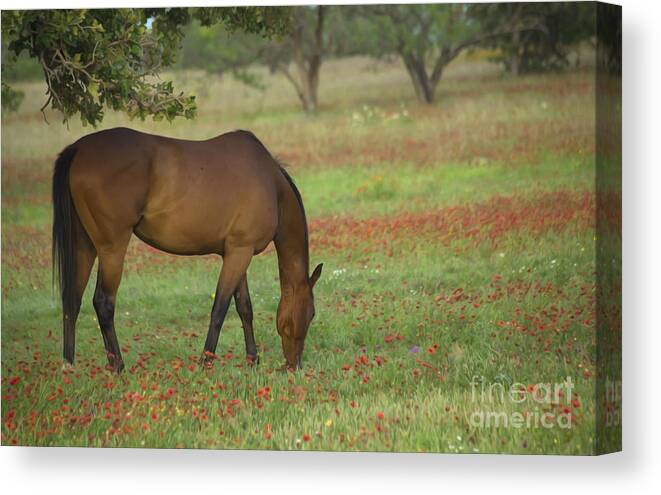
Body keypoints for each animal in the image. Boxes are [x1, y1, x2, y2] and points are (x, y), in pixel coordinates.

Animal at [52, 127, 322, 372]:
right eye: (311, 314)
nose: (295, 366)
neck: (271, 185)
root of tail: (79, 149)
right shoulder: (240, 253)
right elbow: (220, 309)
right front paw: (205, 363)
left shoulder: (236, 253)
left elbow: (245, 308)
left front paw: (252, 361)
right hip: (112, 249)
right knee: (103, 302)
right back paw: (117, 365)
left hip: (84, 246)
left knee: (72, 300)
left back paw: (69, 365)